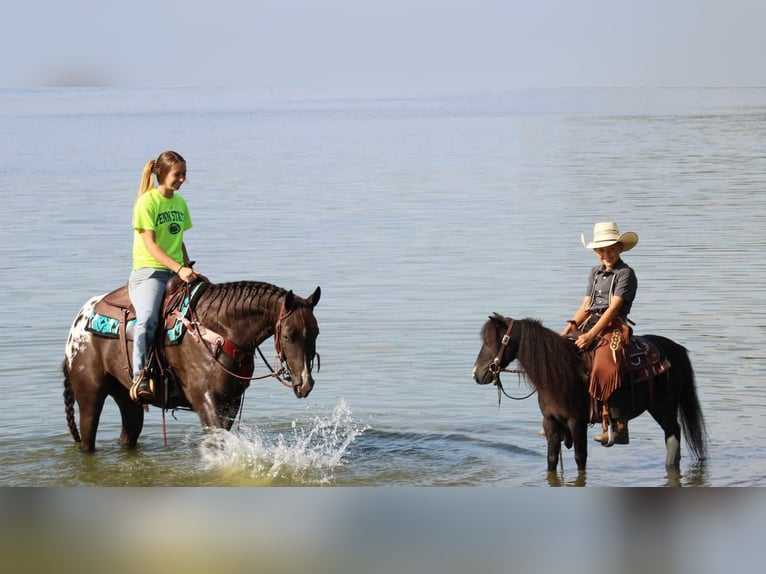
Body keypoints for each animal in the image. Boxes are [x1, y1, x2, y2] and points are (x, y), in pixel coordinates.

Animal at [62, 282, 320, 452]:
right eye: (288, 335)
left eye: (316, 332)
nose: (306, 383)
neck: (220, 330)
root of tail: (79, 320)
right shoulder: (205, 398)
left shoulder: (231, 402)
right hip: (90, 396)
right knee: (87, 438)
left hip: (128, 399)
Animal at [472, 316, 712, 472]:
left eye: (491, 342)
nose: (477, 373)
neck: (560, 372)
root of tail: (677, 349)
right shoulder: (550, 421)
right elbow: (551, 459)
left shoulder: (576, 422)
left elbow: (581, 458)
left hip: (664, 406)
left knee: (673, 435)